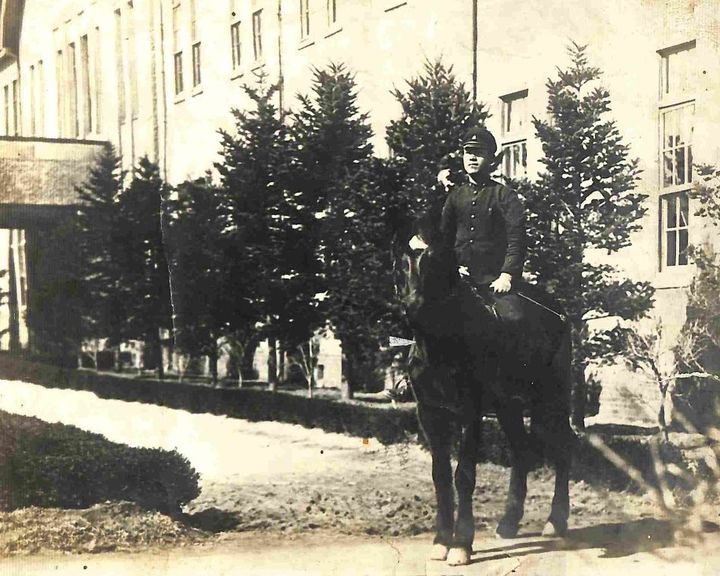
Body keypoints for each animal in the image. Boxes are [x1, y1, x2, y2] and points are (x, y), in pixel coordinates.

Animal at [396, 226, 576, 568]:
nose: (411, 310)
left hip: (552, 399)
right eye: (402, 263)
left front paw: (461, 545)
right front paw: (441, 541)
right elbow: (440, 475)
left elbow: (464, 474)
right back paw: (508, 522)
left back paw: (555, 521)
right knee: (522, 450)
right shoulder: (429, 413)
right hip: (508, 406)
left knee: (563, 450)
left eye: (437, 261)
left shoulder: (469, 412)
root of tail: (559, 311)